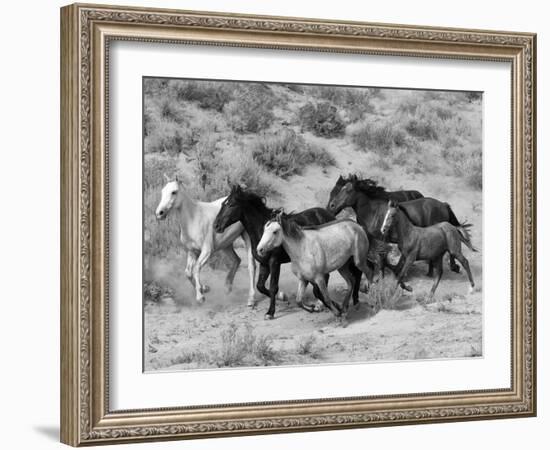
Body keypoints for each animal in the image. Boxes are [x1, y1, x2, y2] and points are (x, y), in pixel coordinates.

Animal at [156, 176, 258, 306]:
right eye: (162, 191)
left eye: (174, 192)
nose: (159, 213)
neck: (193, 219)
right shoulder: (192, 251)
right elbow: (188, 272)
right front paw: (205, 289)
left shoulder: (207, 251)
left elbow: (196, 268)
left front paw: (200, 297)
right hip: (226, 244)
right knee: (237, 260)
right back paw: (227, 287)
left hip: (247, 238)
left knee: (251, 266)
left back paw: (251, 299)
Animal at [216, 186, 366, 320]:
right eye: (223, 204)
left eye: (231, 204)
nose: (217, 226)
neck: (260, 231)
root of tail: (329, 214)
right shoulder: (264, 263)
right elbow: (260, 286)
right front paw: (283, 297)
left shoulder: (274, 262)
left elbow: (272, 287)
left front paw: (270, 312)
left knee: (352, 274)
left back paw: (348, 302)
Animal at [330, 174, 464, 276]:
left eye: (348, 190)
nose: (332, 205)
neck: (372, 212)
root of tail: (443, 205)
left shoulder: (381, 239)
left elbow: (381, 258)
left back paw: (449, 268)